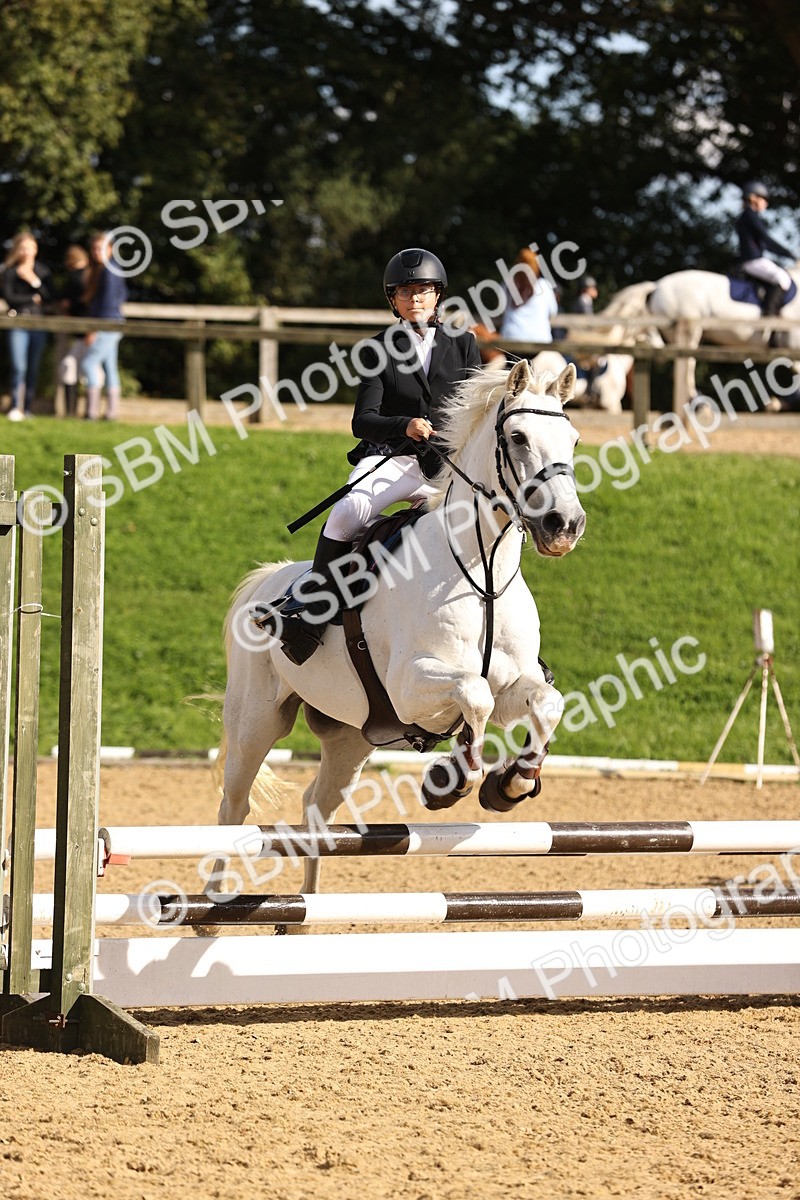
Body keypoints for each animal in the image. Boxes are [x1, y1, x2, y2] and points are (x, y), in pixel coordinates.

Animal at [215, 358, 586, 900]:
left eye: (573, 439)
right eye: (517, 437)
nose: (565, 525)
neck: (482, 575)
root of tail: (266, 582)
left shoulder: (514, 685)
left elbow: (544, 703)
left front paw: (511, 784)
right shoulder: (410, 688)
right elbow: (474, 695)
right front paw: (452, 781)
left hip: (352, 738)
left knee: (316, 806)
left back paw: (307, 906)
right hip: (256, 724)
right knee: (233, 807)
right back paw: (213, 899)